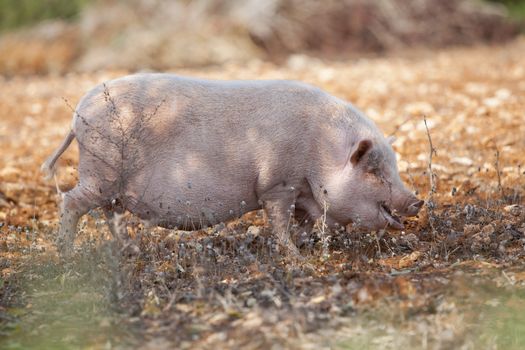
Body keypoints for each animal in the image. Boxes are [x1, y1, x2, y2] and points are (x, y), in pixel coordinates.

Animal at [43, 74, 424, 256]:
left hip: (112, 187)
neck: (322, 150)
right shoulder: (277, 184)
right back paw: (66, 253)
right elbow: (280, 223)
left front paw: (304, 247)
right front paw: (295, 257)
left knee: (112, 216)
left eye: (392, 167)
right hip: (100, 172)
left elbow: (303, 224)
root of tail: (80, 111)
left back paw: (130, 250)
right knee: (71, 202)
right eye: (374, 170)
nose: (418, 200)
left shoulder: (302, 192)